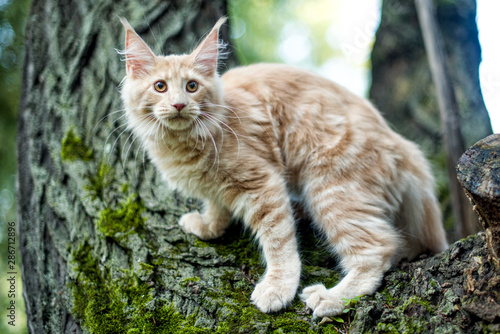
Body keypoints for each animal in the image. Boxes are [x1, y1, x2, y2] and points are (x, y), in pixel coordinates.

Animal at [119, 16, 448, 318]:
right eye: (160, 87)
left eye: (191, 86)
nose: (178, 105)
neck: (181, 144)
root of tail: (403, 145)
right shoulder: (214, 185)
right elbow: (216, 206)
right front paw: (208, 225)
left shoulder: (261, 182)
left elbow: (278, 242)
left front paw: (278, 288)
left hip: (331, 190)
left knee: (378, 249)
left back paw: (332, 299)